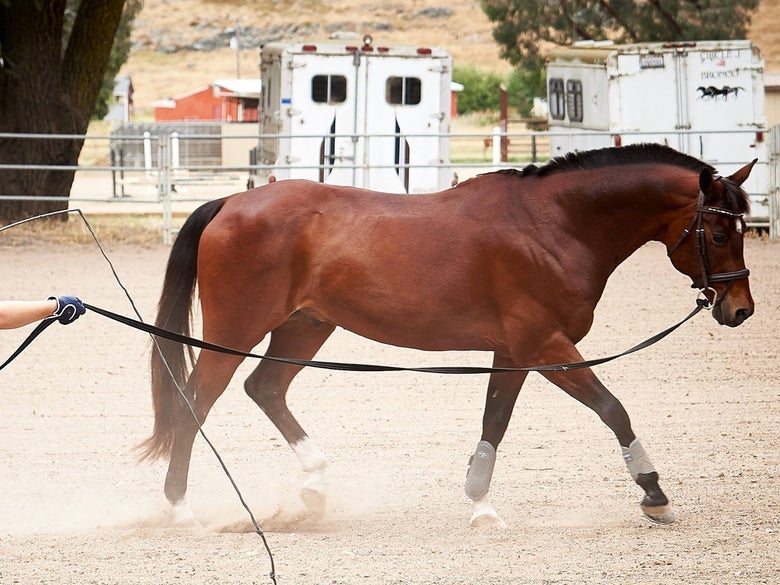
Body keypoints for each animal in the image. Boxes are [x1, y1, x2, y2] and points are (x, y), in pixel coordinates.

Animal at [141, 143, 755, 528]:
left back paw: (314, 486)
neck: (553, 225)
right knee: (196, 401)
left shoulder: (513, 351)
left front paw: (480, 505)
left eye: (745, 228)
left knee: (265, 388)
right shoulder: (546, 346)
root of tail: (231, 201)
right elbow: (613, 409)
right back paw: (179, 509)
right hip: (239, 327)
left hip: (306, 325)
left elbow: (494, 422)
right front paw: (654, 493)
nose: (741, 310)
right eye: (719, 232)